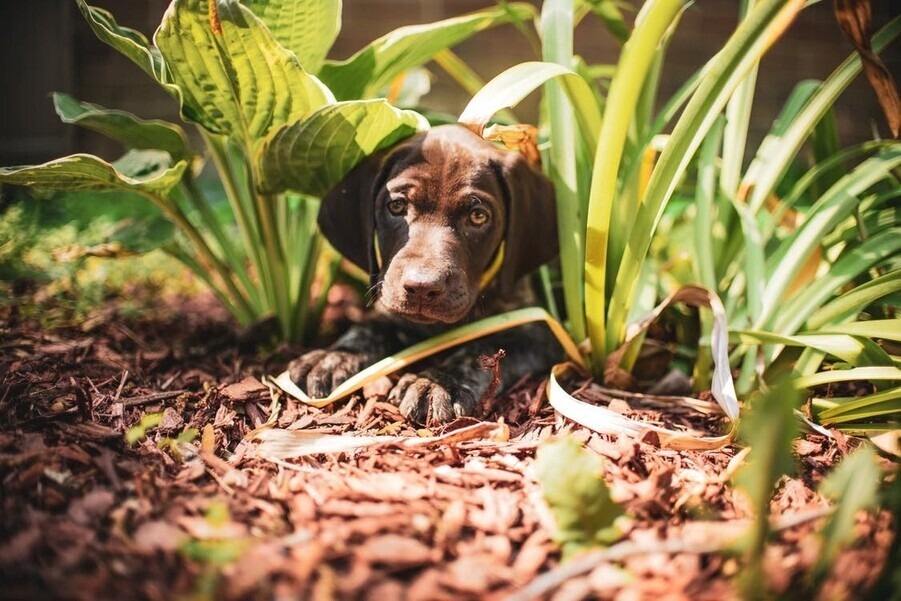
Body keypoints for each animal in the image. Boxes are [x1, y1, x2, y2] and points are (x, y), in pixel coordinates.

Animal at [288, 123, 560, 422]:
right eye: (396, 207)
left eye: (478, 216)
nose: (421, 288)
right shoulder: (394, 309)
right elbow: (368, 328)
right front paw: (332, 356)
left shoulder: (536, 330)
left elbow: (480, 350)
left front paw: (437, 383)